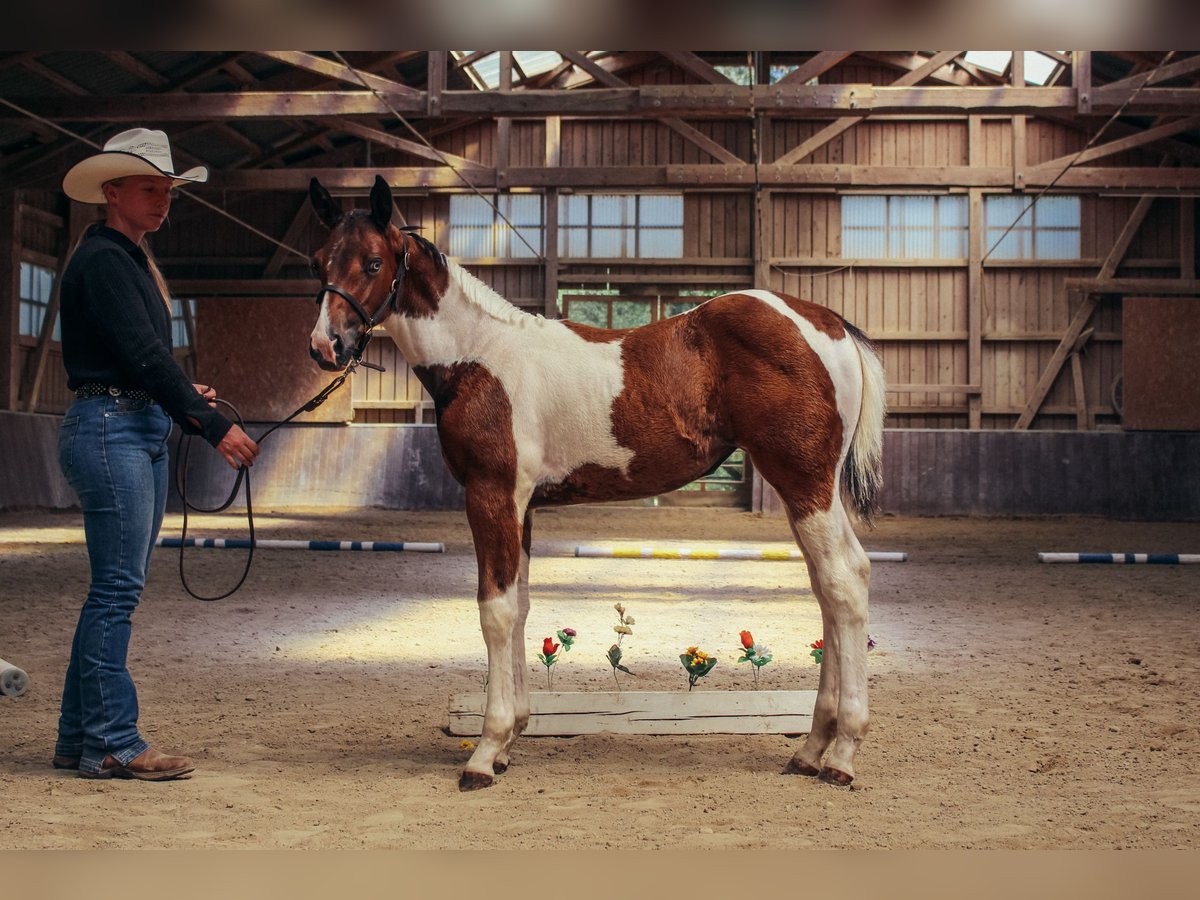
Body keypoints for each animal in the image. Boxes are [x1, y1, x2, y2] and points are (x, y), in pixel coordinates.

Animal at [306, 175, 887, 791]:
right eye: (318, 261)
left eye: (373, 262)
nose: (325, 346)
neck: (479, 356)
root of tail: (828, 324)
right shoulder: (522, 507)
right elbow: (521, 604)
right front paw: (511, 739)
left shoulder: (491, 494)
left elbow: (496, 610)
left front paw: (485, 752)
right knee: (829, 591)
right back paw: (811, 748)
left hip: (804, 482)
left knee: (844, 582)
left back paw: (841, 754)